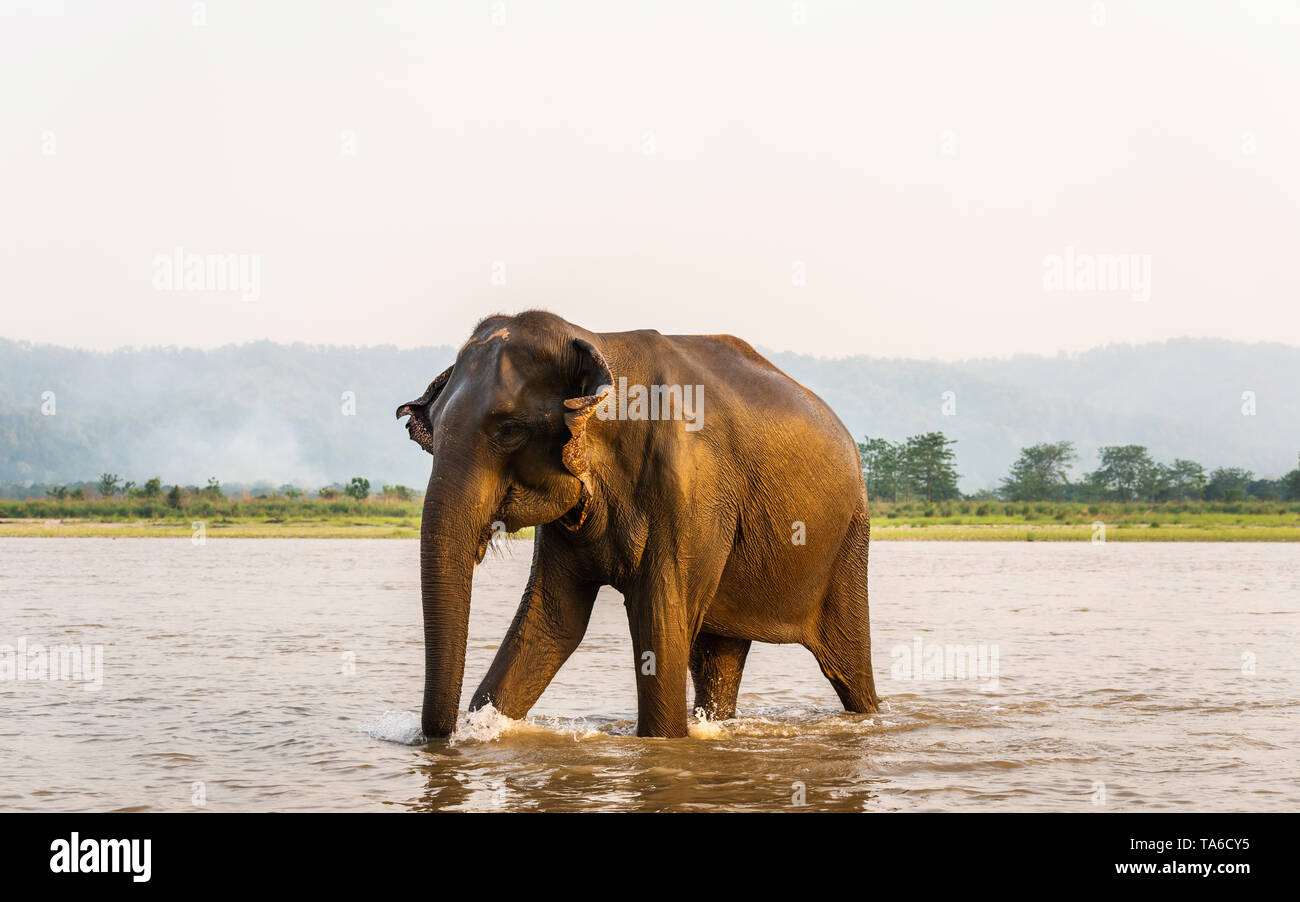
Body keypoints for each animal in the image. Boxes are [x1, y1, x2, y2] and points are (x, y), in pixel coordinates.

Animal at [397, 313, 883, 743]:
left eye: (510, 430)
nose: (443, 737)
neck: (595, 342)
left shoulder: (687, 488)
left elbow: (659, 628)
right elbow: (554, 620)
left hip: (848, 541)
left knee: (848, 668)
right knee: (718, 657)